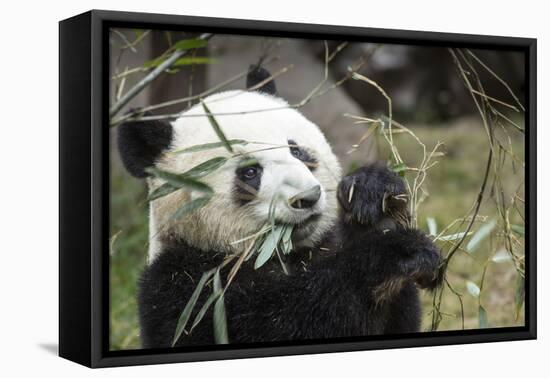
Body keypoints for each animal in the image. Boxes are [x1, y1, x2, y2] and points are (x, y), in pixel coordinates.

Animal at [117, 65, 444, 348]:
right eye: (250, 171)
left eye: (297, 150)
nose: (307, 197)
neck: (286, 254)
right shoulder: (188, 289)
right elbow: (293, 318)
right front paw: (396, 252)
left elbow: (398, 320)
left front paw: (372, 195)